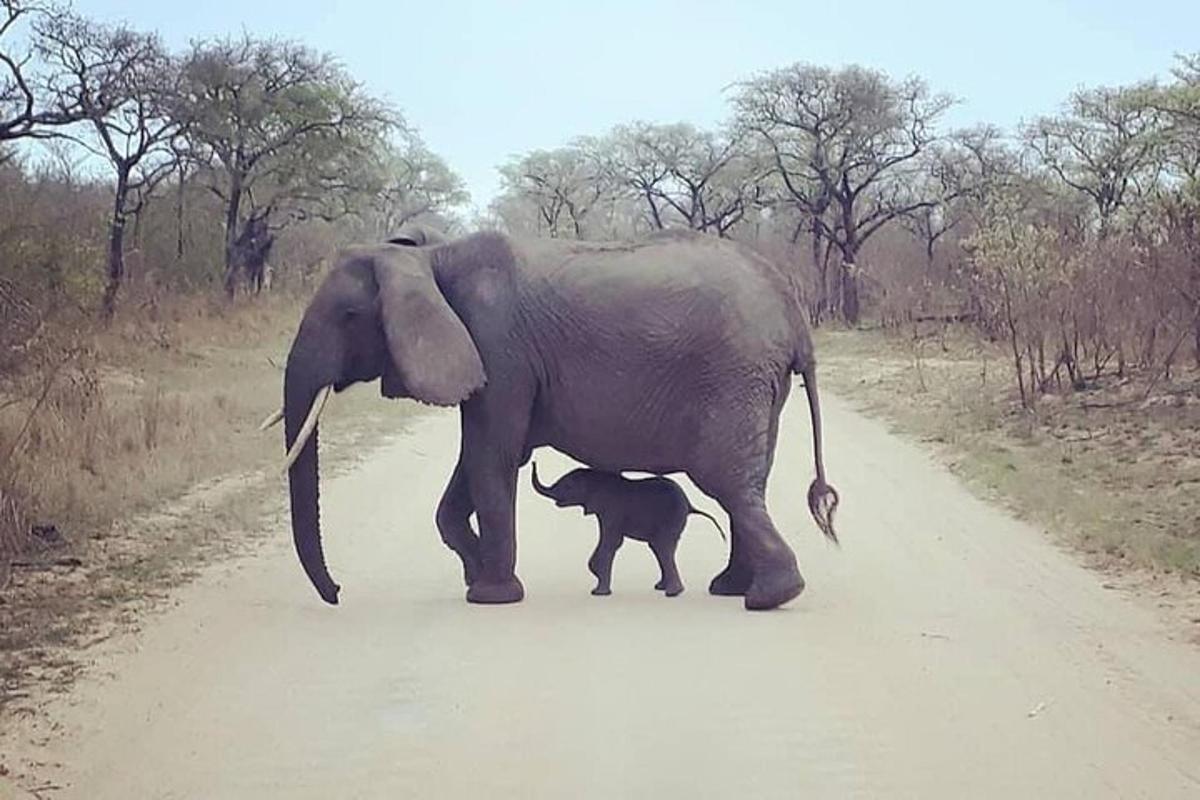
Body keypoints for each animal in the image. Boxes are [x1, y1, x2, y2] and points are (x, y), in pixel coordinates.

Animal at [532, 460, 720, 597]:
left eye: (568, 487)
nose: (533, 461)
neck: (596, 477)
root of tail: (690, 505)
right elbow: (612, 542)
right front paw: (596, 578)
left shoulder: (611, 509)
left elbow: (611, 542)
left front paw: (598, 593)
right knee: (663, 548)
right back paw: (662, 588)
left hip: (671, 517)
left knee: (661, 547)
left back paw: (672, 593)